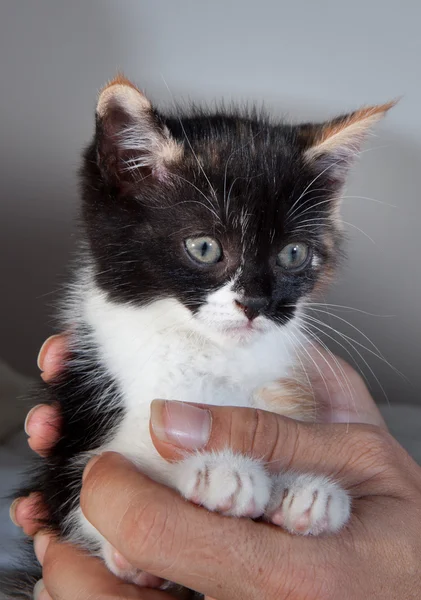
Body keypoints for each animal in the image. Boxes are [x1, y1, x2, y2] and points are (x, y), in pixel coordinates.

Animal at [4, 77, 392, 596]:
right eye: (204, 247)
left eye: (293, 254)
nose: (257, 304)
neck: (207, 351)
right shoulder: (72, 436)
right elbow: (88, 486)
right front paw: (220, 470)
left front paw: (308, 489)